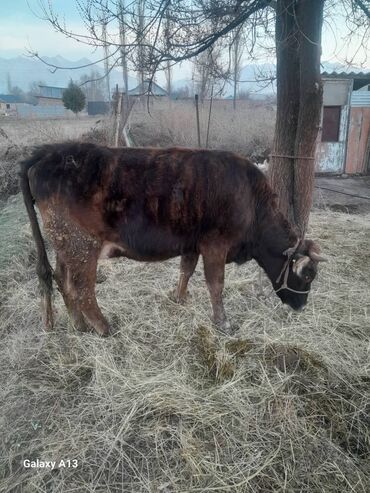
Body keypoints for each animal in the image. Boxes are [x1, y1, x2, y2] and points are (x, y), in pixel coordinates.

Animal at [20, 140, 326, 336]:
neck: (251, 200)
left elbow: (185, 270)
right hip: (82, 246)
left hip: (65, 245)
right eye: (308, 275)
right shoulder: (215, 244)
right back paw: (105, 328)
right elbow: (216, 284)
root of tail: (49, 152)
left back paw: (79, 325)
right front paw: (223, 323)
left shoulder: (192, 243)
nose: (302, 306)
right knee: (82, 289)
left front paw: (178, 298)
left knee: (63, 281)